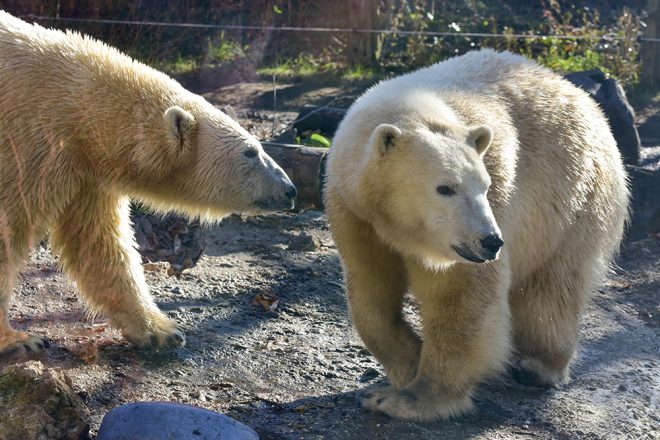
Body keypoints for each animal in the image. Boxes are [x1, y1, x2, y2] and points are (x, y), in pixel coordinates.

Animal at [0, 12, 296, 358]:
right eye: (250, 151)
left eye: (258, 146)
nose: (290, 190)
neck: (79, 106)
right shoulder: (29, 144)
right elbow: (9, 229)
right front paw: (19, 340)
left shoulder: (87, 171)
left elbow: (98, 242)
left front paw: (161, 332)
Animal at [324, 49, 628, 422]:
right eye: (445, 188)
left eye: (484, 186)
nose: (490, 241)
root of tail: (587, 102)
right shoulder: (355, 213)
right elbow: (370, 287)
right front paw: (408, 362)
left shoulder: (492, 193)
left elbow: (463, 296)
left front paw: (410, 398)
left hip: (573, 202)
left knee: (552, 287)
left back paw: (537, 366)